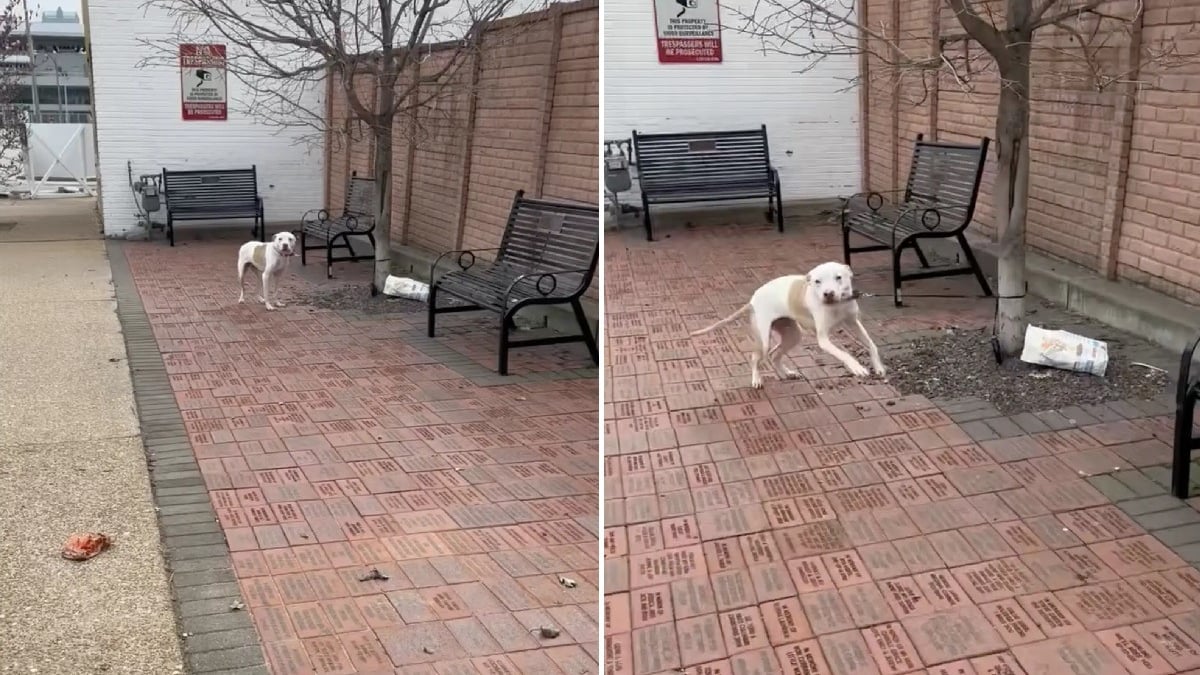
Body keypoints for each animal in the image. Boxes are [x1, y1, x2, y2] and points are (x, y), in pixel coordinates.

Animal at [696, 260, 883, 386]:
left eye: (838, 277)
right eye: (817, 281)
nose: (828, 294)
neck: (837, 305)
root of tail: (752, 300)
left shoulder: (854, 323)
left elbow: (872, 344)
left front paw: (879, 366)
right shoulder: (823, 339)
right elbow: (844, 354)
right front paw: (857, 367)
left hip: (793, 335)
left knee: (775, 355)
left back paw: (785, 374)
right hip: (764, 339)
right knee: (756, 357)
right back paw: (757, 379)